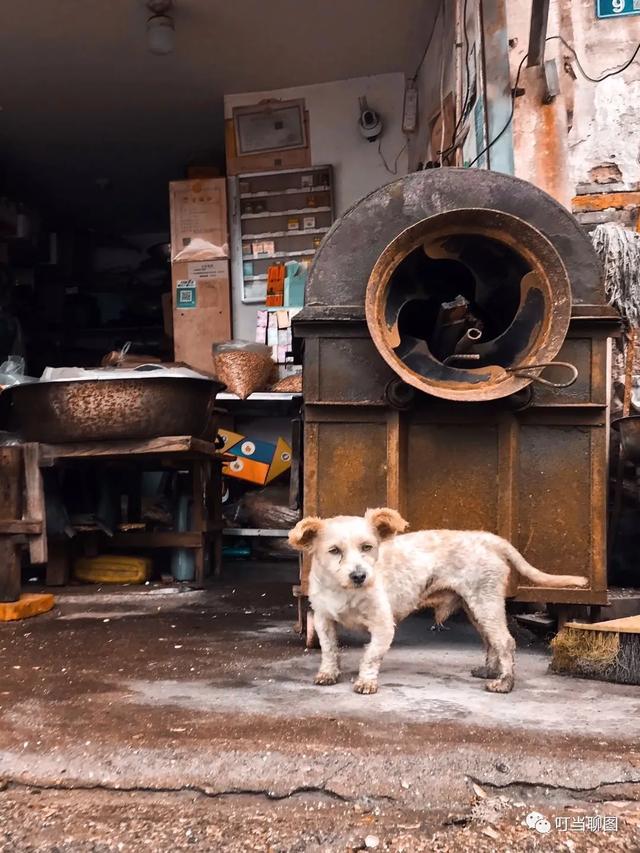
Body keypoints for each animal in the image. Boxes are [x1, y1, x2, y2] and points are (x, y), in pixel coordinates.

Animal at [288, 510, 588, 696]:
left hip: (485, 603)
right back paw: (490, 671)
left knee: (505, 642)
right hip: (475, 608)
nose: (360, 576)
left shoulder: (383, 625)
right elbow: (329, 650)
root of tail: (489, 539)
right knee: (491, 641)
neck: (344, 590)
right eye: (334, 551)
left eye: (367, 547)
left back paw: (504, 683)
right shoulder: (324, 619)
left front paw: (366, 682)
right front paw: (328, 674)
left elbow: (371, 655)